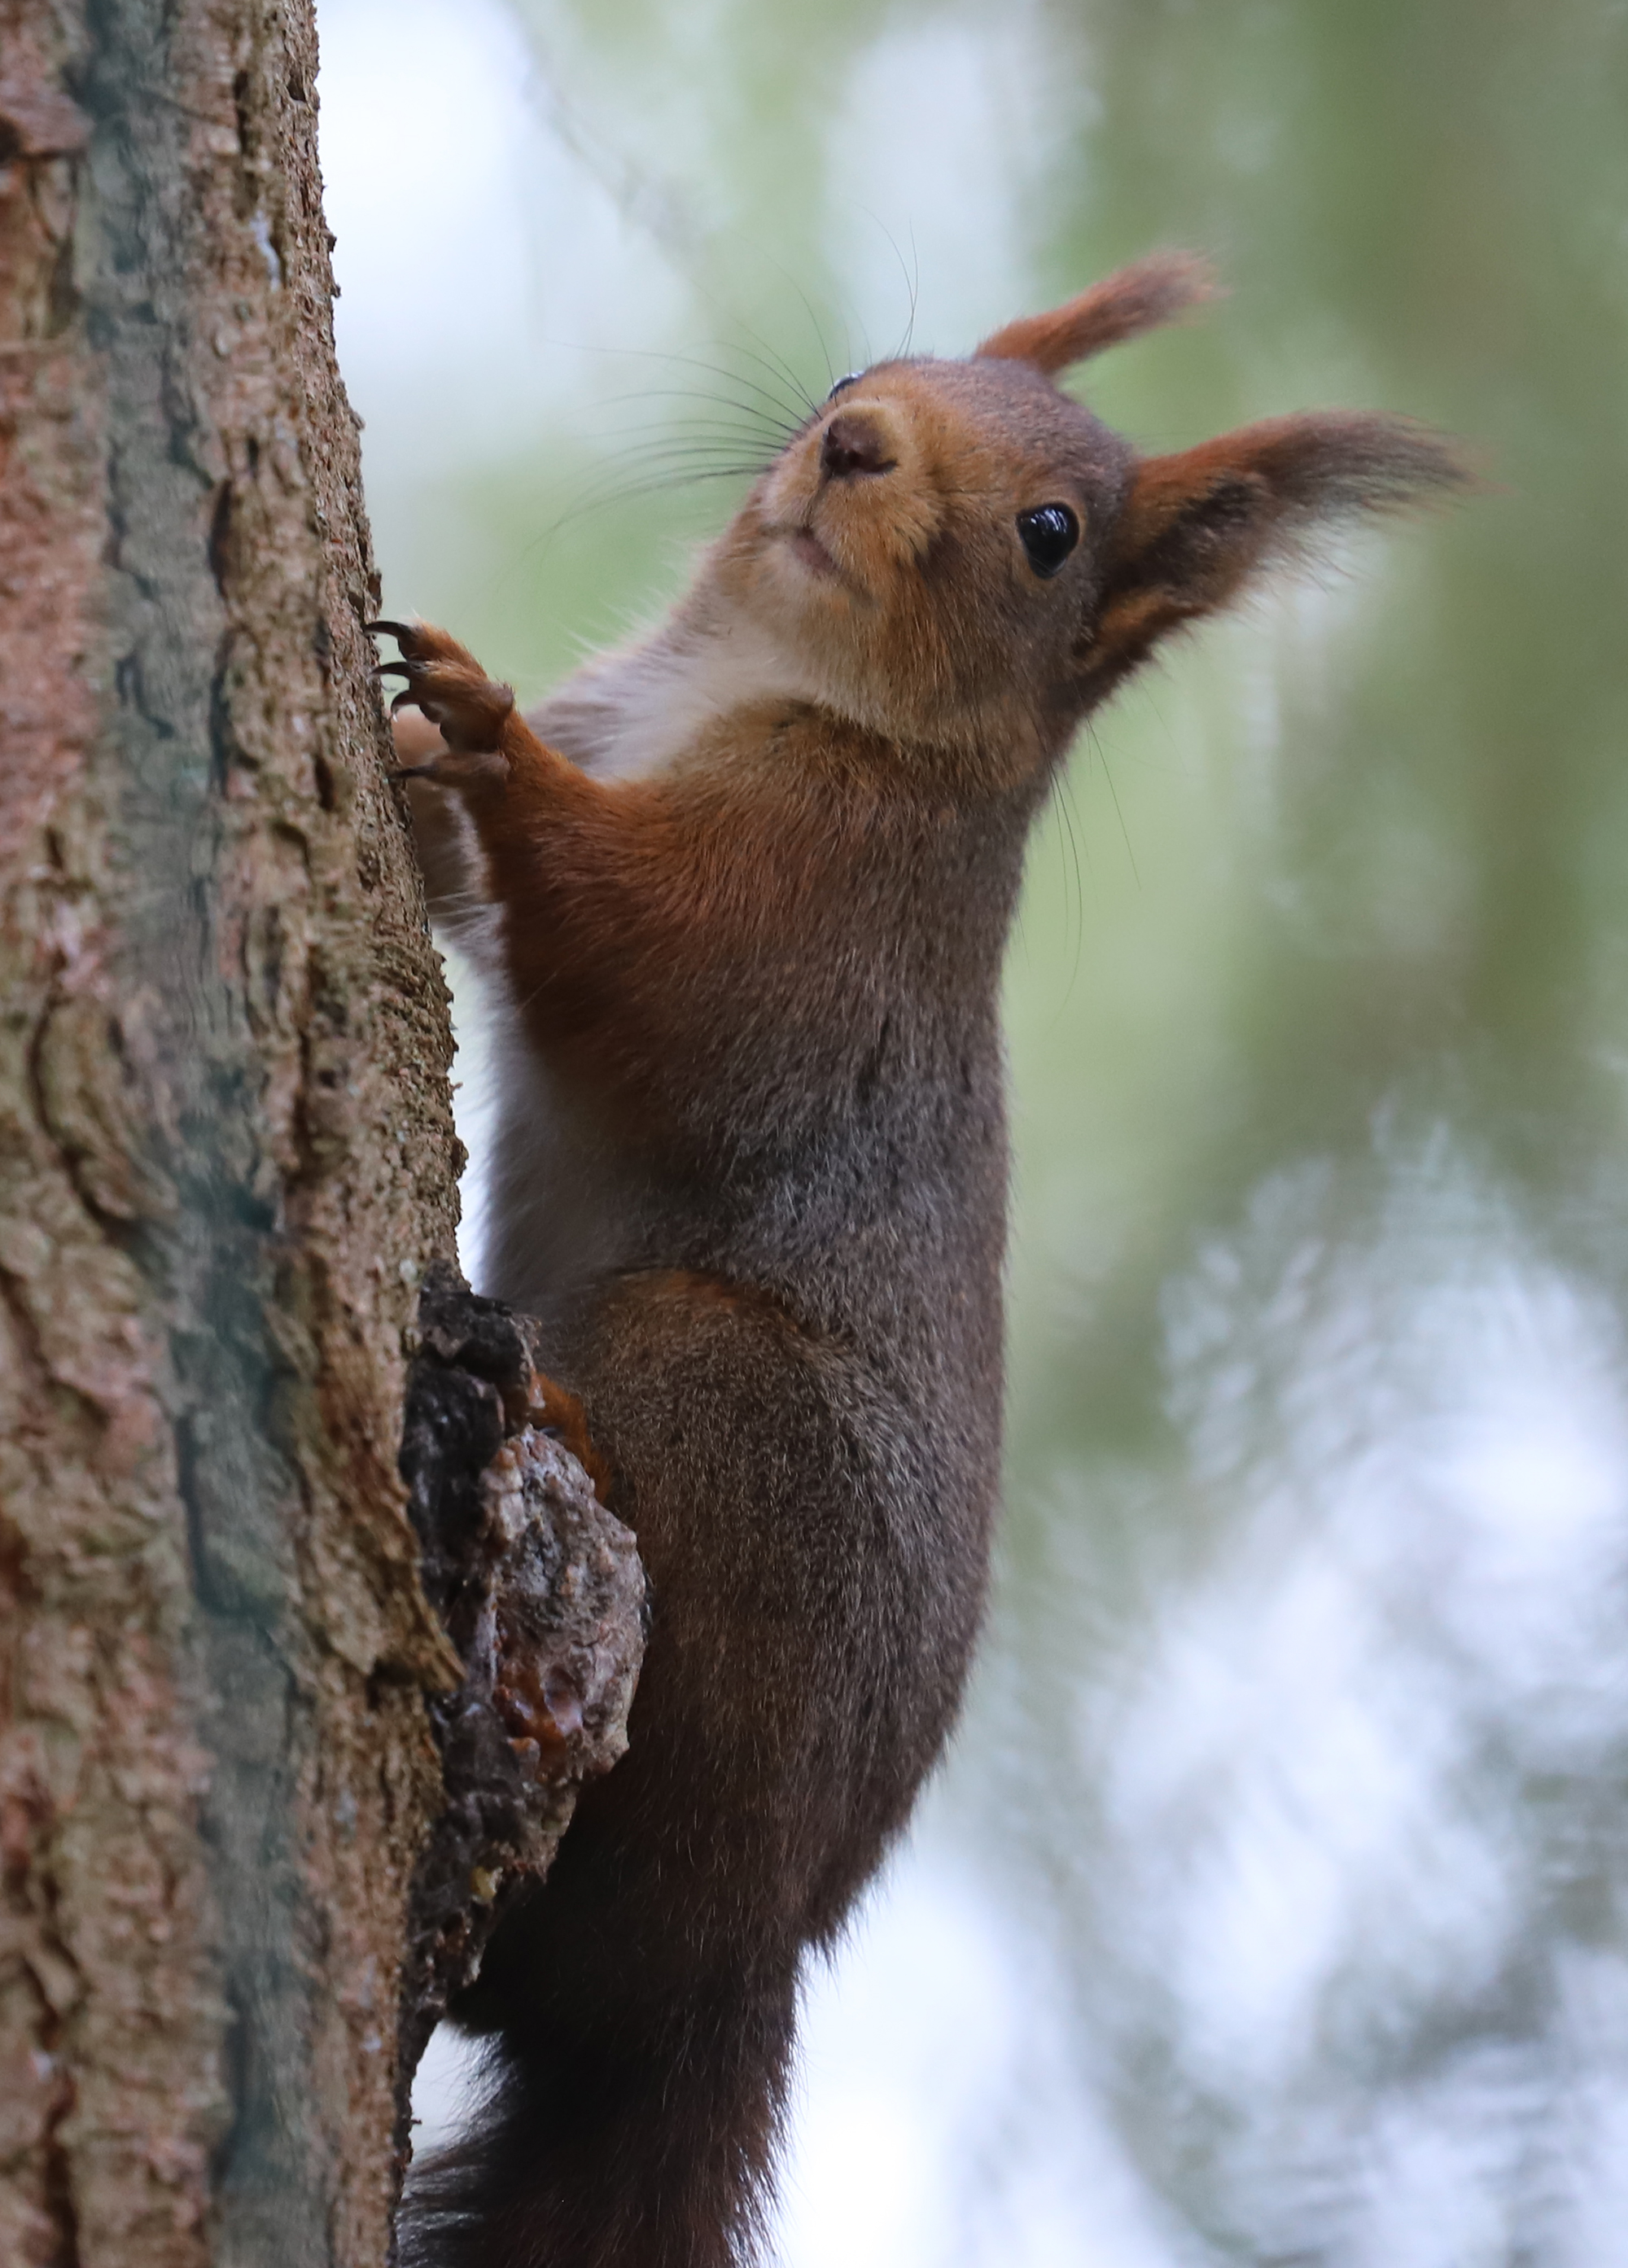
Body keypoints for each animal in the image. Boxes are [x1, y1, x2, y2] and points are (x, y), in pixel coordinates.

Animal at [379, 252, 1469, 2268]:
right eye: (864, 372)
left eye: (1050, 535)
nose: (856, 444)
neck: (764, 678)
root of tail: (739, 1966)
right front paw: (418, 739)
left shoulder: (823, 924)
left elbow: (653, 969)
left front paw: (488, 731)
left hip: (718, 1416)